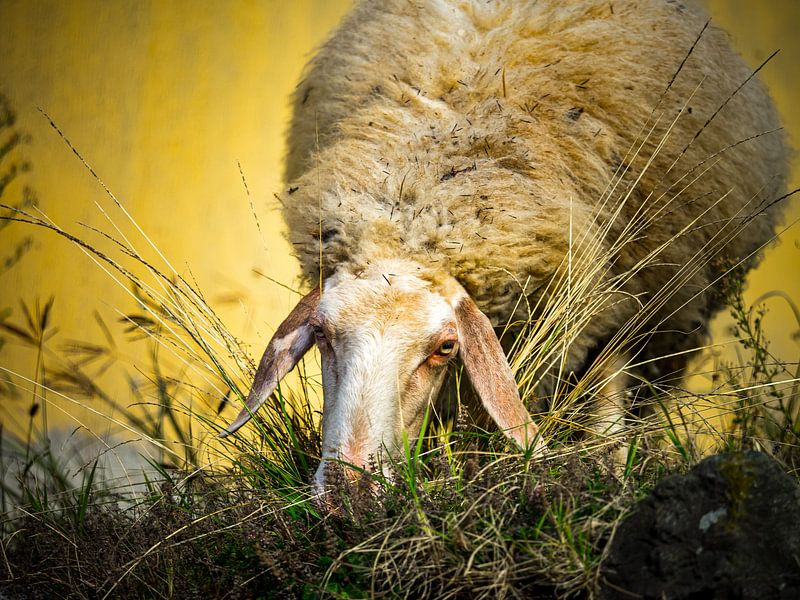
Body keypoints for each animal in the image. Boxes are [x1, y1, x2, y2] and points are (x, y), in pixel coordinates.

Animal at [219, 0, 788, 488]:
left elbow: (605, 406)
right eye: (321, 335)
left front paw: (606, 476)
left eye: (446, 348)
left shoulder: (622, 298)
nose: (348, 492)